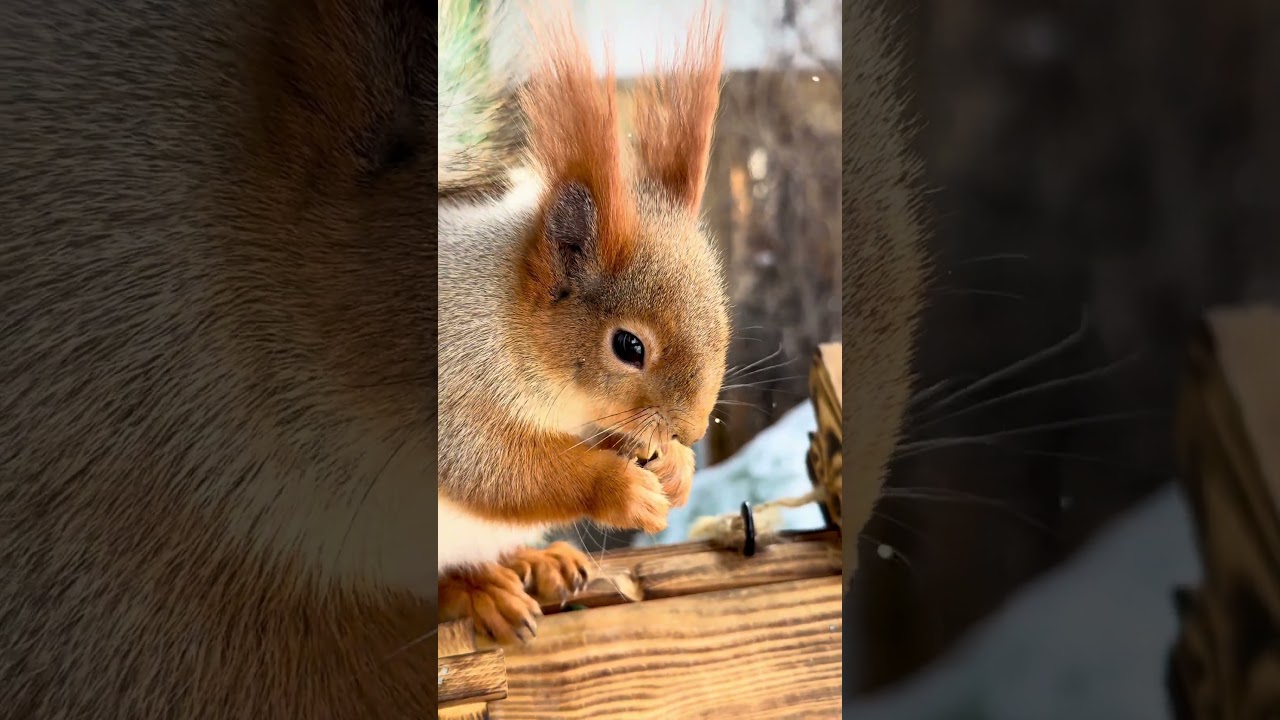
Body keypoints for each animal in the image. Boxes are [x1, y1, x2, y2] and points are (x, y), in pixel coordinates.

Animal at [437, 1, 731, 643]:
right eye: (628, 347)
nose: (693, 429)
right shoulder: (452, 390)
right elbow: (494, 470)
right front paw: (620, 489)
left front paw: (677, 469)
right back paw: (479, 589)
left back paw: (537, 559)